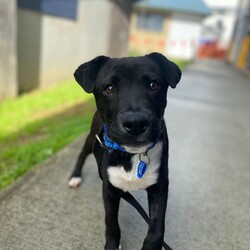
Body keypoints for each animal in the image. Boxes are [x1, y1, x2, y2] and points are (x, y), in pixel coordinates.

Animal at [68, 51, 182, 249]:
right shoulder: (109, 189)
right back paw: (75, 176)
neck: (132, 155)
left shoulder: (160, 187)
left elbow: (156, 228)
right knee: (82, 154)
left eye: (154, 85)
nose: (136, 123)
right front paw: (113, 245)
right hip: (91, 140)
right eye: (109, 88)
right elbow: (111, 223)